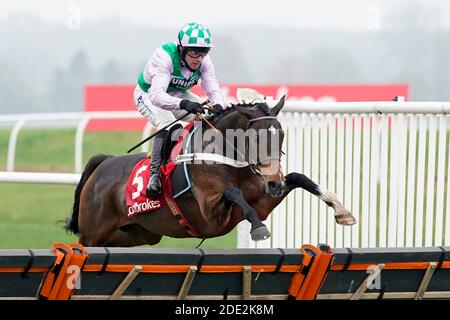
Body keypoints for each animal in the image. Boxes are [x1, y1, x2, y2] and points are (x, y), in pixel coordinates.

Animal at [64, 96, 356, 246]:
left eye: (281, 135)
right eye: (255, 138)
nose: (273, 182)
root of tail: (103, 164)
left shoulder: (262, 201)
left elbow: (297, 177)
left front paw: (341, 210)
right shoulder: (209, 214)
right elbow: (233, 192)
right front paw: (259, 229)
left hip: (138, 233)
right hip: (93, 234)